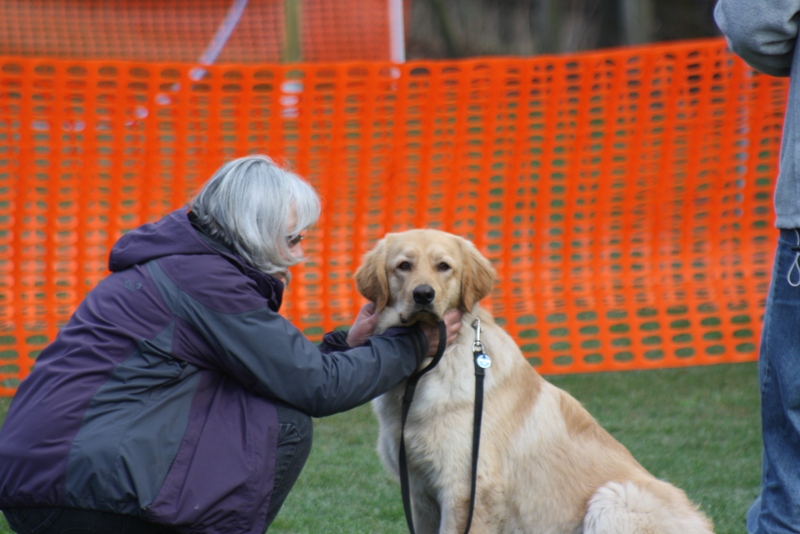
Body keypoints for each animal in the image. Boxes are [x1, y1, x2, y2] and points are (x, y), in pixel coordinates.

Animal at [354, 229, 714, 534]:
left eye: (444, 266)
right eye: (404, 266)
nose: (423, 295)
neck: (427, 369)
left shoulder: (467, 488)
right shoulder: (420, 493)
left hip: (612, 498)